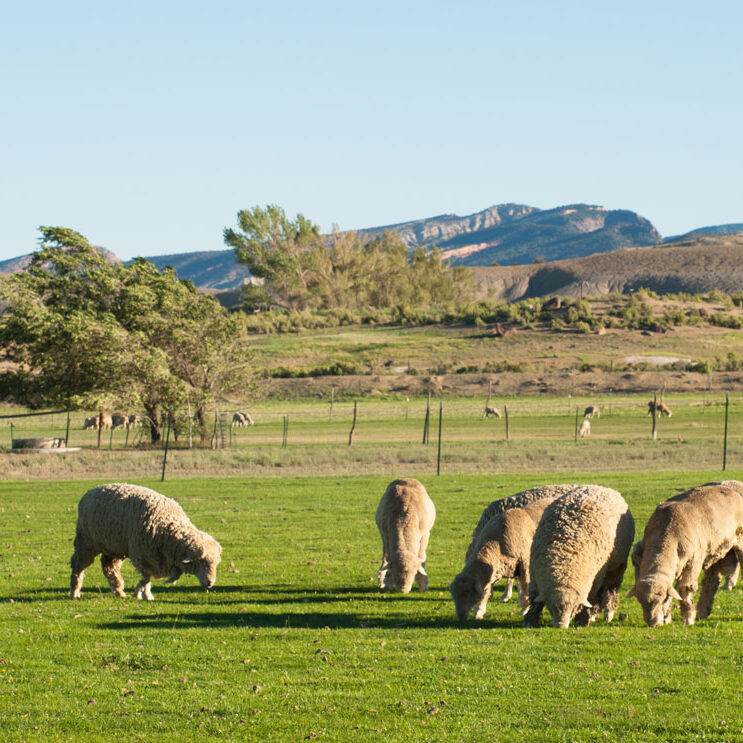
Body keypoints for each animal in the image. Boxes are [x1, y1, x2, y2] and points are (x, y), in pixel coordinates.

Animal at [70, 483, 222, 601]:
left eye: (215, 564)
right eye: (201, 563)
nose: (210, 583)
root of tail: (92, 490)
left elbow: (146, 578)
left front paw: (139, 592)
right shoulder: (144, 556)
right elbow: (147, 577)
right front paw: (146, 594)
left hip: (113, 547)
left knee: (109, 567)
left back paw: (119, 592)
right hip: (86, 541)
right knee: (78, 565)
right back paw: (75, 592)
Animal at [523, 485, 635, 629]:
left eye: (573, 607)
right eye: (551, 607)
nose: (561, 626)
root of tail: (603, 487)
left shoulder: (595, 578)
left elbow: (590, 597)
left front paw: (583, 619)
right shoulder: (534, 574)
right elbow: (534, 597)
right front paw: (530, 619)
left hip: (616, 566)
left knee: (610, 588)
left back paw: (607, 613)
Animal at [627, 483, 743, 626]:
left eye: (661, 599)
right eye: (640, 601)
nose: (653, 623)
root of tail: (730, 490)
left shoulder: (694, 560)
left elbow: (686, 588)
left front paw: (688, 618)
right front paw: (667, 618)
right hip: (713, 549)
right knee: (711, 581)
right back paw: (702, 612)